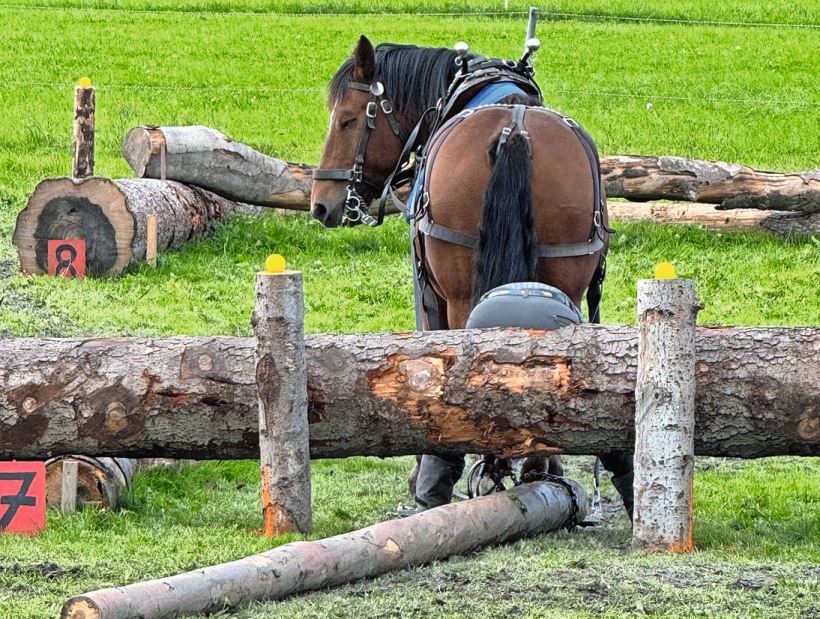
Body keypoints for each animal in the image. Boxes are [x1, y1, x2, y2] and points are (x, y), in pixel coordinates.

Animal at [310, 36, 636, 516]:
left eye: (348, 118)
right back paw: (536, 467)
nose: (321, 203)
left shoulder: (429, 289)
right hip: (567, 281)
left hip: (461, 289)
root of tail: (514, 130)